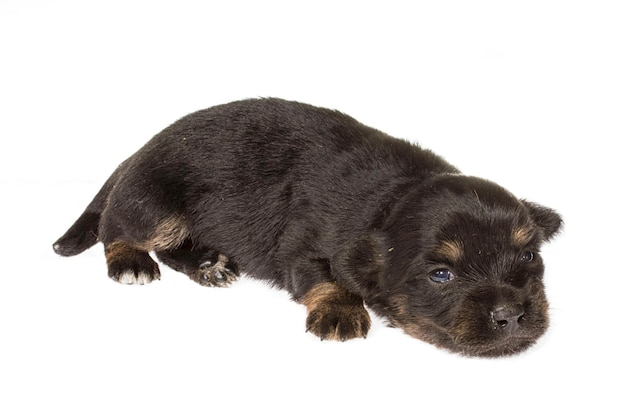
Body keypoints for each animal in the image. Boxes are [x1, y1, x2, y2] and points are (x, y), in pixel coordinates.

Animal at [53, 97, 560, 358]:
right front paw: (340, 312)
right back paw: (131, 262)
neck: (392, 196)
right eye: (442, 275)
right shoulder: (302, 250)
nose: (512, 316)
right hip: (156, 204)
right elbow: (327, 278)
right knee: (117, 228)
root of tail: (137, 151)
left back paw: (208, 264)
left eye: (528, 256)